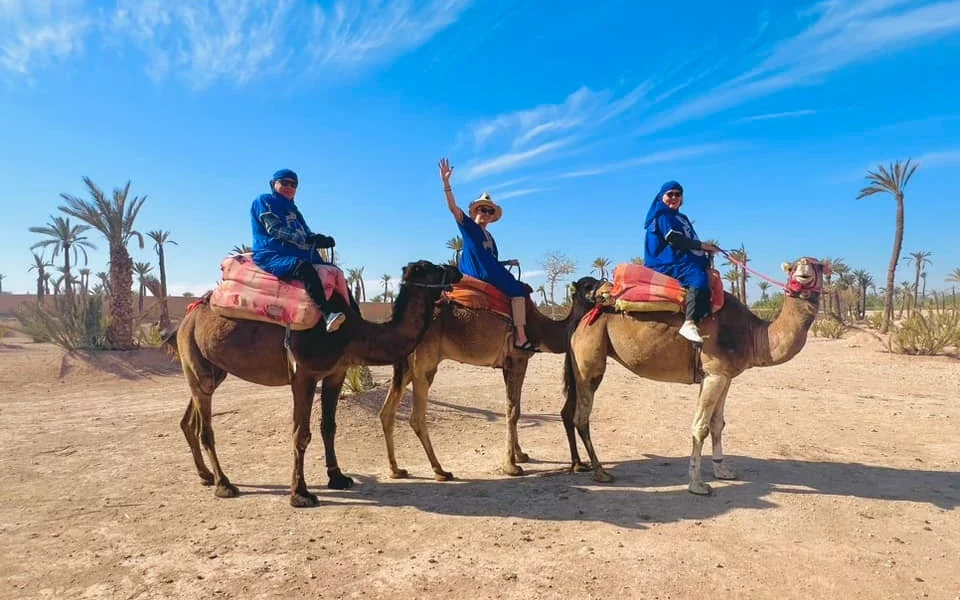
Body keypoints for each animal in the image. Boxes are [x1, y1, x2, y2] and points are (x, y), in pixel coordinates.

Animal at [164, 260, 462, 507]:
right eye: (432, 267)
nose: (457, 270)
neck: (351, 332)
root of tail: (186, 319)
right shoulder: (304, 375)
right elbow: (301, 433)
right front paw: (300, 494)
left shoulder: (336, 373)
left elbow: (328, 427)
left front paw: (338, 478)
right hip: (194, 357)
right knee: (206, 428)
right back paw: (224, 485)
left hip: (212, 369)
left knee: (190, 418)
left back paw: (205, 475)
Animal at [378, 276, 606, 479]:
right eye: (588, 285)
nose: (606, 288)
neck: (542, 330)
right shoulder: (518, 359)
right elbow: (513, 411)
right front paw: (511, 466)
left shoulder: (507, 365)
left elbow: (513, 407)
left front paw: (520, 455)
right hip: (425, 364)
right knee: (416, 417)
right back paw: (440, 470)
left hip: (406, 366)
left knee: (386, 412)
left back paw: (396, 470)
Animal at [563, 257, 829, 495]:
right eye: (792, 267)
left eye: (816, 265)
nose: (802, 272)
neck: (752, 334)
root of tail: (582, 320)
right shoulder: (714, 374)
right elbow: (700, 427)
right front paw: (697, 484)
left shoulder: (723, 376)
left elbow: (718, 423)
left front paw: (723, 471)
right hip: (590, 360)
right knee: (582, 416)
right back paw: (600, 471)